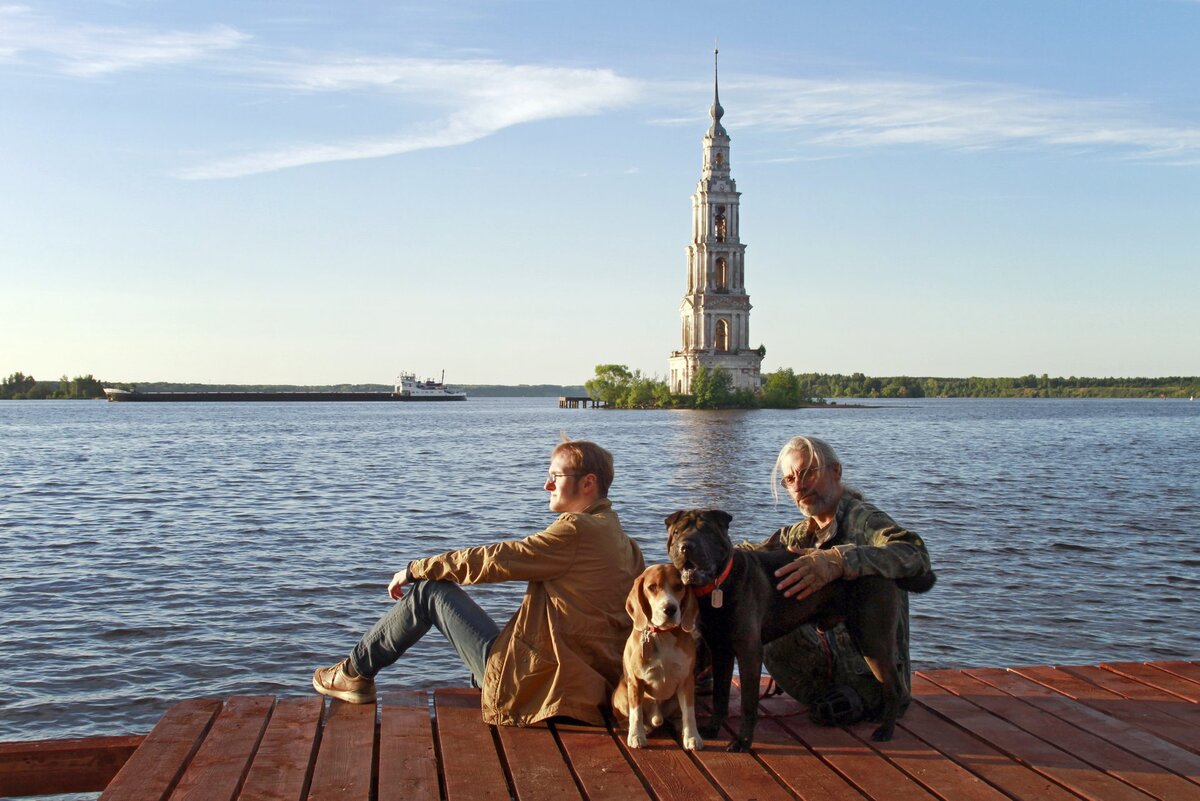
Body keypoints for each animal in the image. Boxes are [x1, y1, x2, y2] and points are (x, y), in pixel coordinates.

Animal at [609, 565, 700, 748]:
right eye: (651, 587)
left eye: (679, 586)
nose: (670, 609)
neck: (662, 634)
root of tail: (656, 717)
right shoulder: (635, 682)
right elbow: (636, 713)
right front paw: (636, 736)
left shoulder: (687, 680)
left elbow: (689, 712)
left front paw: (692, 737)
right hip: (621, 694)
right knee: (625, 718)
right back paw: (642, 728)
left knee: (679, 715)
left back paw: (680, 726)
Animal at [667, 510, 936, 748]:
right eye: (678, 532)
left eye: (706, 531)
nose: (685, 547)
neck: (719, 585)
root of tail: (881, 569)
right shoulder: (720, 650)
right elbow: (720, 697)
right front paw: (712, 729)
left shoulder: (749, 652)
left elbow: (747, 703)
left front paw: (743, 742)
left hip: (873, 638)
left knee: (894, 686)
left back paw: (885, 730)